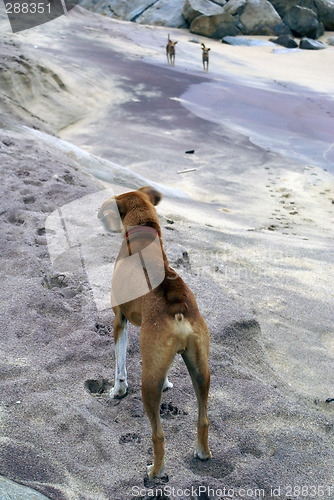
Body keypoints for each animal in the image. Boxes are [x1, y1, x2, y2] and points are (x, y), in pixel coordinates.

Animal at [98, 186, 210, 478]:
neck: (143, 235)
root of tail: (178, 307)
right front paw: (168, 383)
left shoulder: (120, 320)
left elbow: (120, 365)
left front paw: (118, 390)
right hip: (201, 371)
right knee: (203, 418)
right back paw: (202, 452)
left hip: (148, 385)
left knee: (158, 434)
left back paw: (156, 471)